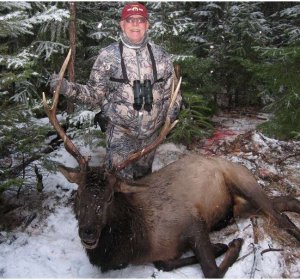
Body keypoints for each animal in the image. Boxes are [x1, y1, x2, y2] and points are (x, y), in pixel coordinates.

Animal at [44, 50, 300, 278]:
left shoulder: (193, 221)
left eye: (109, 197)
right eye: (78, 195)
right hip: (241, 205)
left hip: (243, 180)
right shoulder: (163, 252)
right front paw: (219, 246)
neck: (137, 242)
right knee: (285, 203)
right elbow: (164, 263)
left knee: (281, 218)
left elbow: (211, 271)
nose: (87, 233)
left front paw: (232, 244)